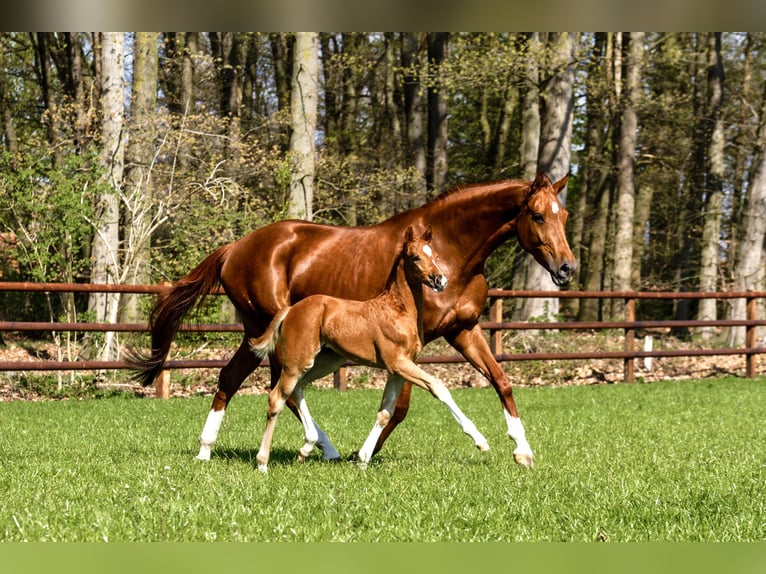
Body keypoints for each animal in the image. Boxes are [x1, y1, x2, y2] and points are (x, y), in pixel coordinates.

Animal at [248, 224, 489, 472]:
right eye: (415, 257)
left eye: (435, 256)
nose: (440, 280)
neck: (399, 310)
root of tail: (291, 309)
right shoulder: (398, 363)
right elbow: (438, 386)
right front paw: (480, 440)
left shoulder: (398, 370)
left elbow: (385, 412)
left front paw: (363, 458)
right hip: (298, 361)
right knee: (277, 398)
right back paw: (263, 464)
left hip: (325, 361)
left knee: (298, 389)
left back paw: (308, 446)